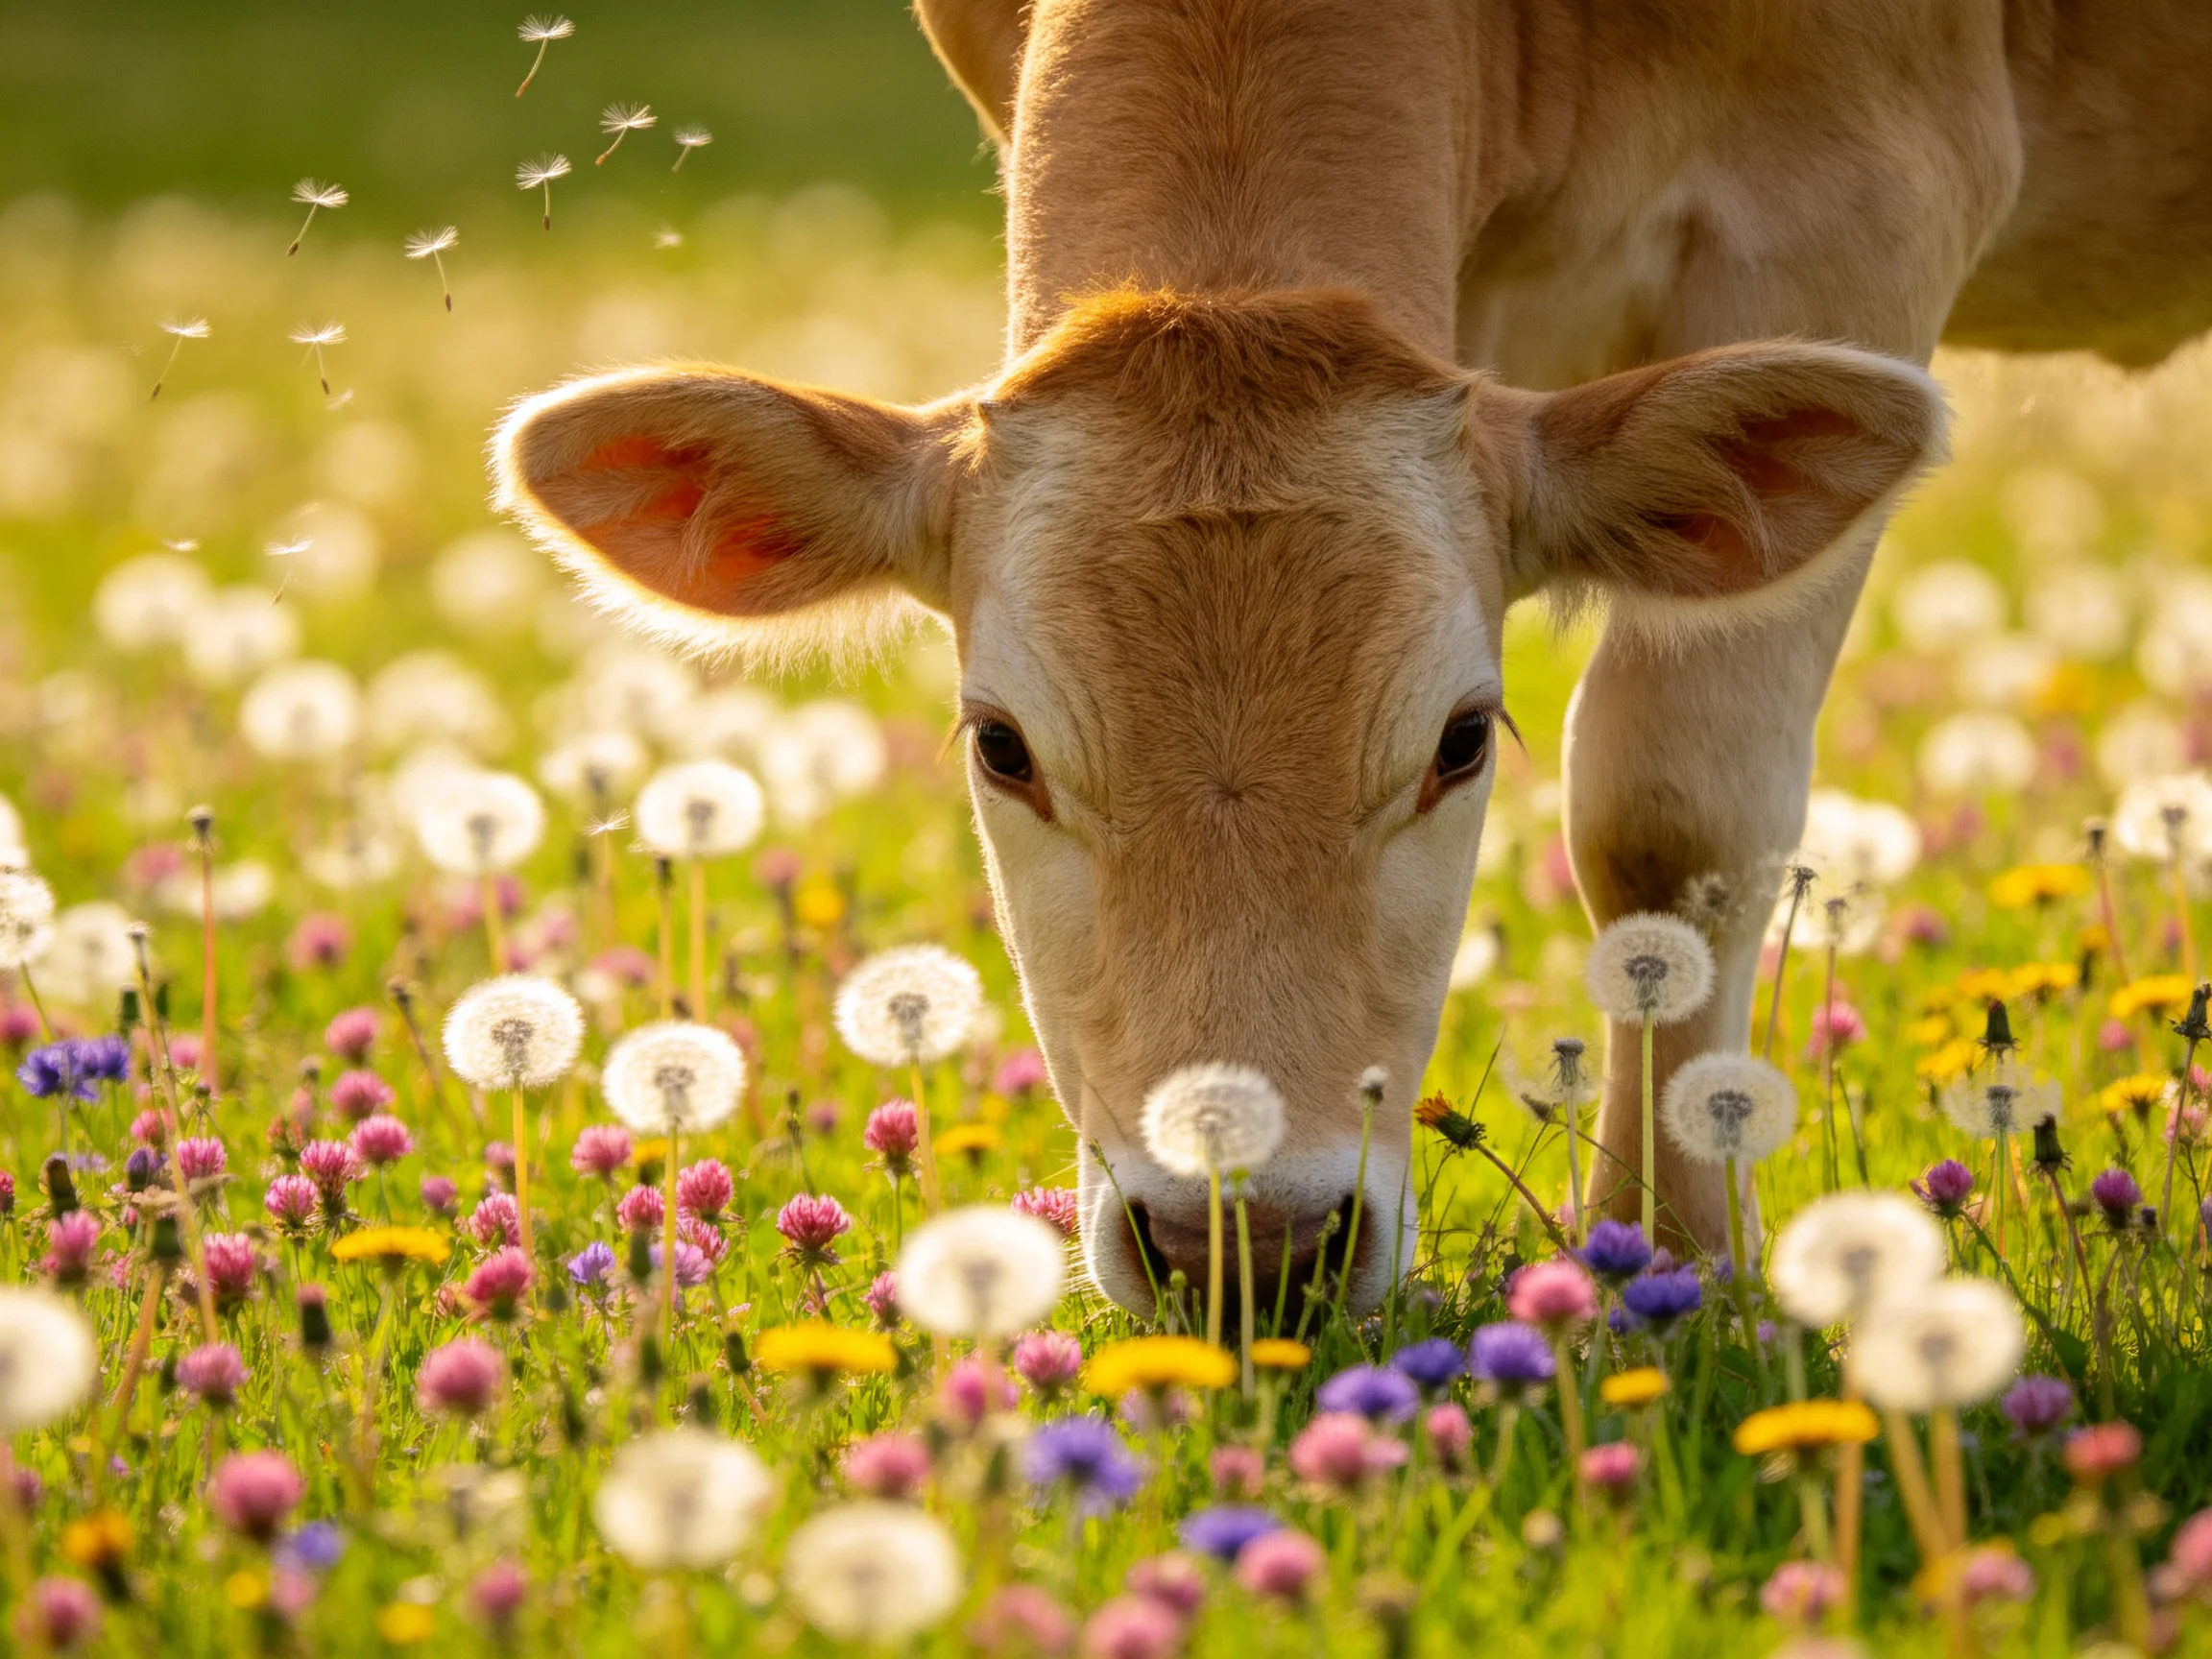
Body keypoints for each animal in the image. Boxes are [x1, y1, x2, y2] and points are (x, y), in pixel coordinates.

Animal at [496, 0, 2212, 1314]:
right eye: (1000, 745)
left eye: (1460, 739)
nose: (1244, 1241)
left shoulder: (1861, 197)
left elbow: (1671, 810)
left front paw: (1669, 1264)